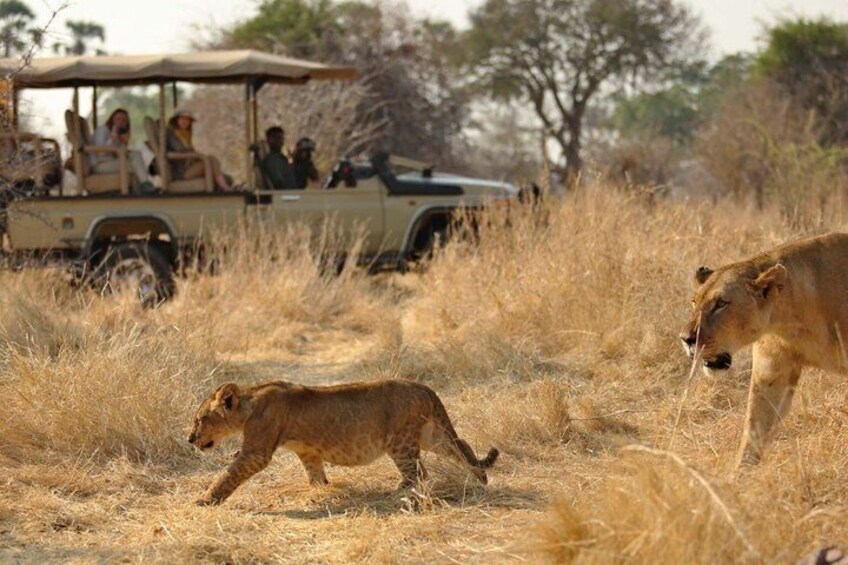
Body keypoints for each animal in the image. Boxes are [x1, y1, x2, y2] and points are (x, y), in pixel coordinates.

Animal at [188, 379, 499, 505]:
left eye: (199, 419)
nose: (190, 439)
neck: (248, 404)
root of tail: (424, 387)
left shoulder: (257, 452)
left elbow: (228, 475)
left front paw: (204, 500)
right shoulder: (308, 451)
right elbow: (314, 474)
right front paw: (321, 491)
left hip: (400, 442)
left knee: (419, 473)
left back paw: (397, 493)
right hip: (431, 436)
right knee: (463, 447)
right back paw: (480, 479)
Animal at [680, 232, 848, 465]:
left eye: (721, 303)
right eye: (694, 302)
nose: (686, 339)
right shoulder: (772, 373)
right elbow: (754, 430)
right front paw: (736, 475)